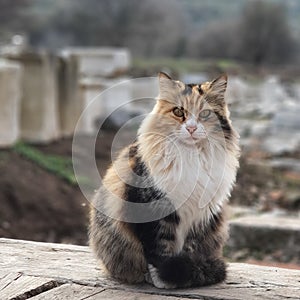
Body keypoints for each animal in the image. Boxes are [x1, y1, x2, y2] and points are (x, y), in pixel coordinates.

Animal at [89, 72, 239, 288]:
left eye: (204, 114)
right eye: (178, 112)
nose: (191, 128)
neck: (191, 155)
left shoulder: (199, 216)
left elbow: (189, 249)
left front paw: (185, 275)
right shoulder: (152, 208)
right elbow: (159, 249)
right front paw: (164, 279)